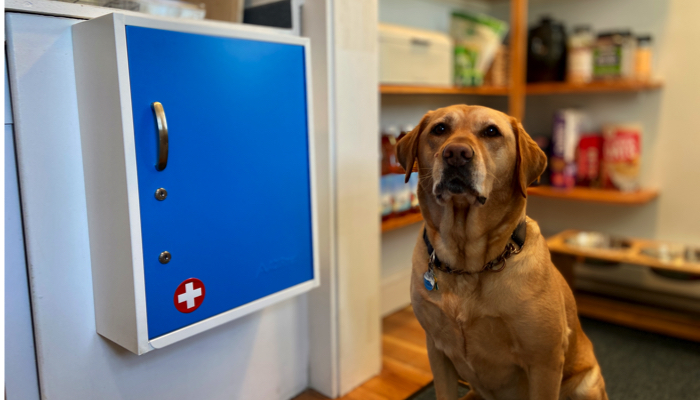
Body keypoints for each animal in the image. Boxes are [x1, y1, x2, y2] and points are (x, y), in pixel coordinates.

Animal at [400, 104, 608, 398]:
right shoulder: (437, 351)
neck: (468, 264)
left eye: (491, 131)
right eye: (439, 129)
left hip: (585, 384)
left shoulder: (544, 362)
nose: (456, 154)